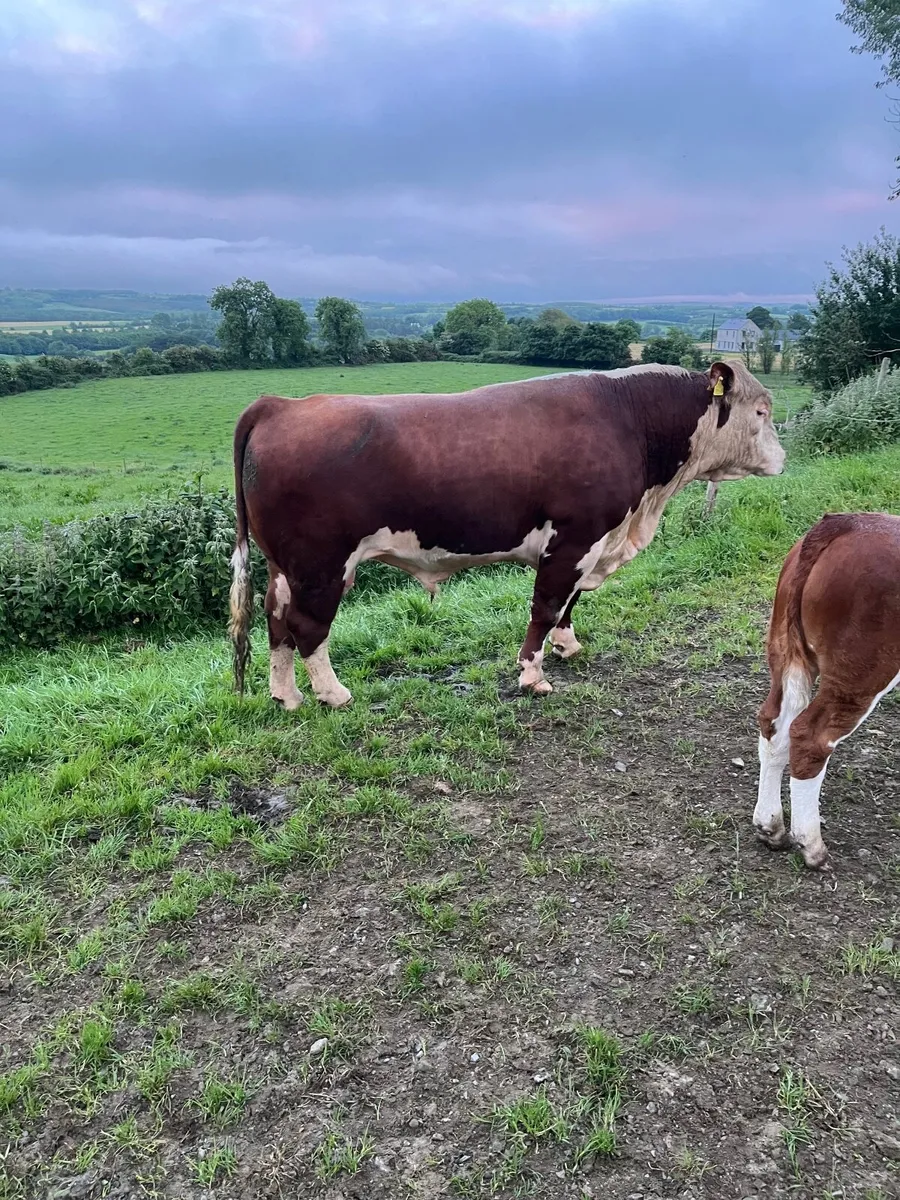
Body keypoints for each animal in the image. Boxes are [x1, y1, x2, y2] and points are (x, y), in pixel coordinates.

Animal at [228, 360, 784, 710]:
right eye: (762, 411)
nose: (783, 458)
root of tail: (280, 405)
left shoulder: (590, 542)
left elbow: (569, 603)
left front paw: (567, 645)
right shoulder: (576, 537)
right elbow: (547, 604)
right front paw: (532, 674)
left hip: (286, 566)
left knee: (276, 621)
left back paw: (287, 696)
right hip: (322, 565)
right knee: (306, 627)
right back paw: (332, 694)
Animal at [753, 512, 900, 869]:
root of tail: (844, 522)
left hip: (785, 650)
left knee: (774, 724)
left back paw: (770, 827)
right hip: (862, 671)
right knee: (810, 736)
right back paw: (811, 846)